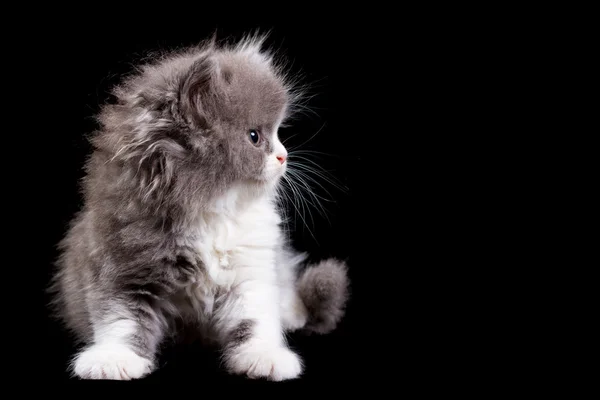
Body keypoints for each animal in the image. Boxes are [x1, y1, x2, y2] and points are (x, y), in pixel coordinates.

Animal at [50, 35, 352, 382]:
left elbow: (256, 319)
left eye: (278, 134)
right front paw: (115, 359)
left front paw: (264, 357)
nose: (284, 156)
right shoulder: (121, 267)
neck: (212, 212)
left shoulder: (251, 271)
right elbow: (121, 322)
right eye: (255, 136)